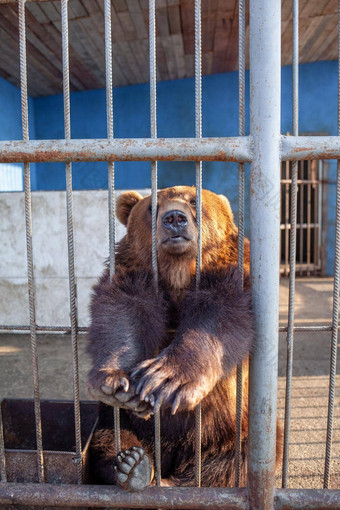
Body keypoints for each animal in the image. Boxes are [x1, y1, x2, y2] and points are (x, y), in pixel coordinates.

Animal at [87, 184, 282, 490]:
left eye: (194, 201)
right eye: (152, 207)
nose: (174, 218)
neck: (178, 273)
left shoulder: (229, 278)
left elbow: (216, 323)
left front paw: (165, 381)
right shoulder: (135, 274)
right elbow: (123, 314)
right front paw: (114, 381)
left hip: (231, 428)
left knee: (234, 460)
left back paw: (172, 481)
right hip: (127, 422)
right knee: (108, 438)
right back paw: (132, 465)